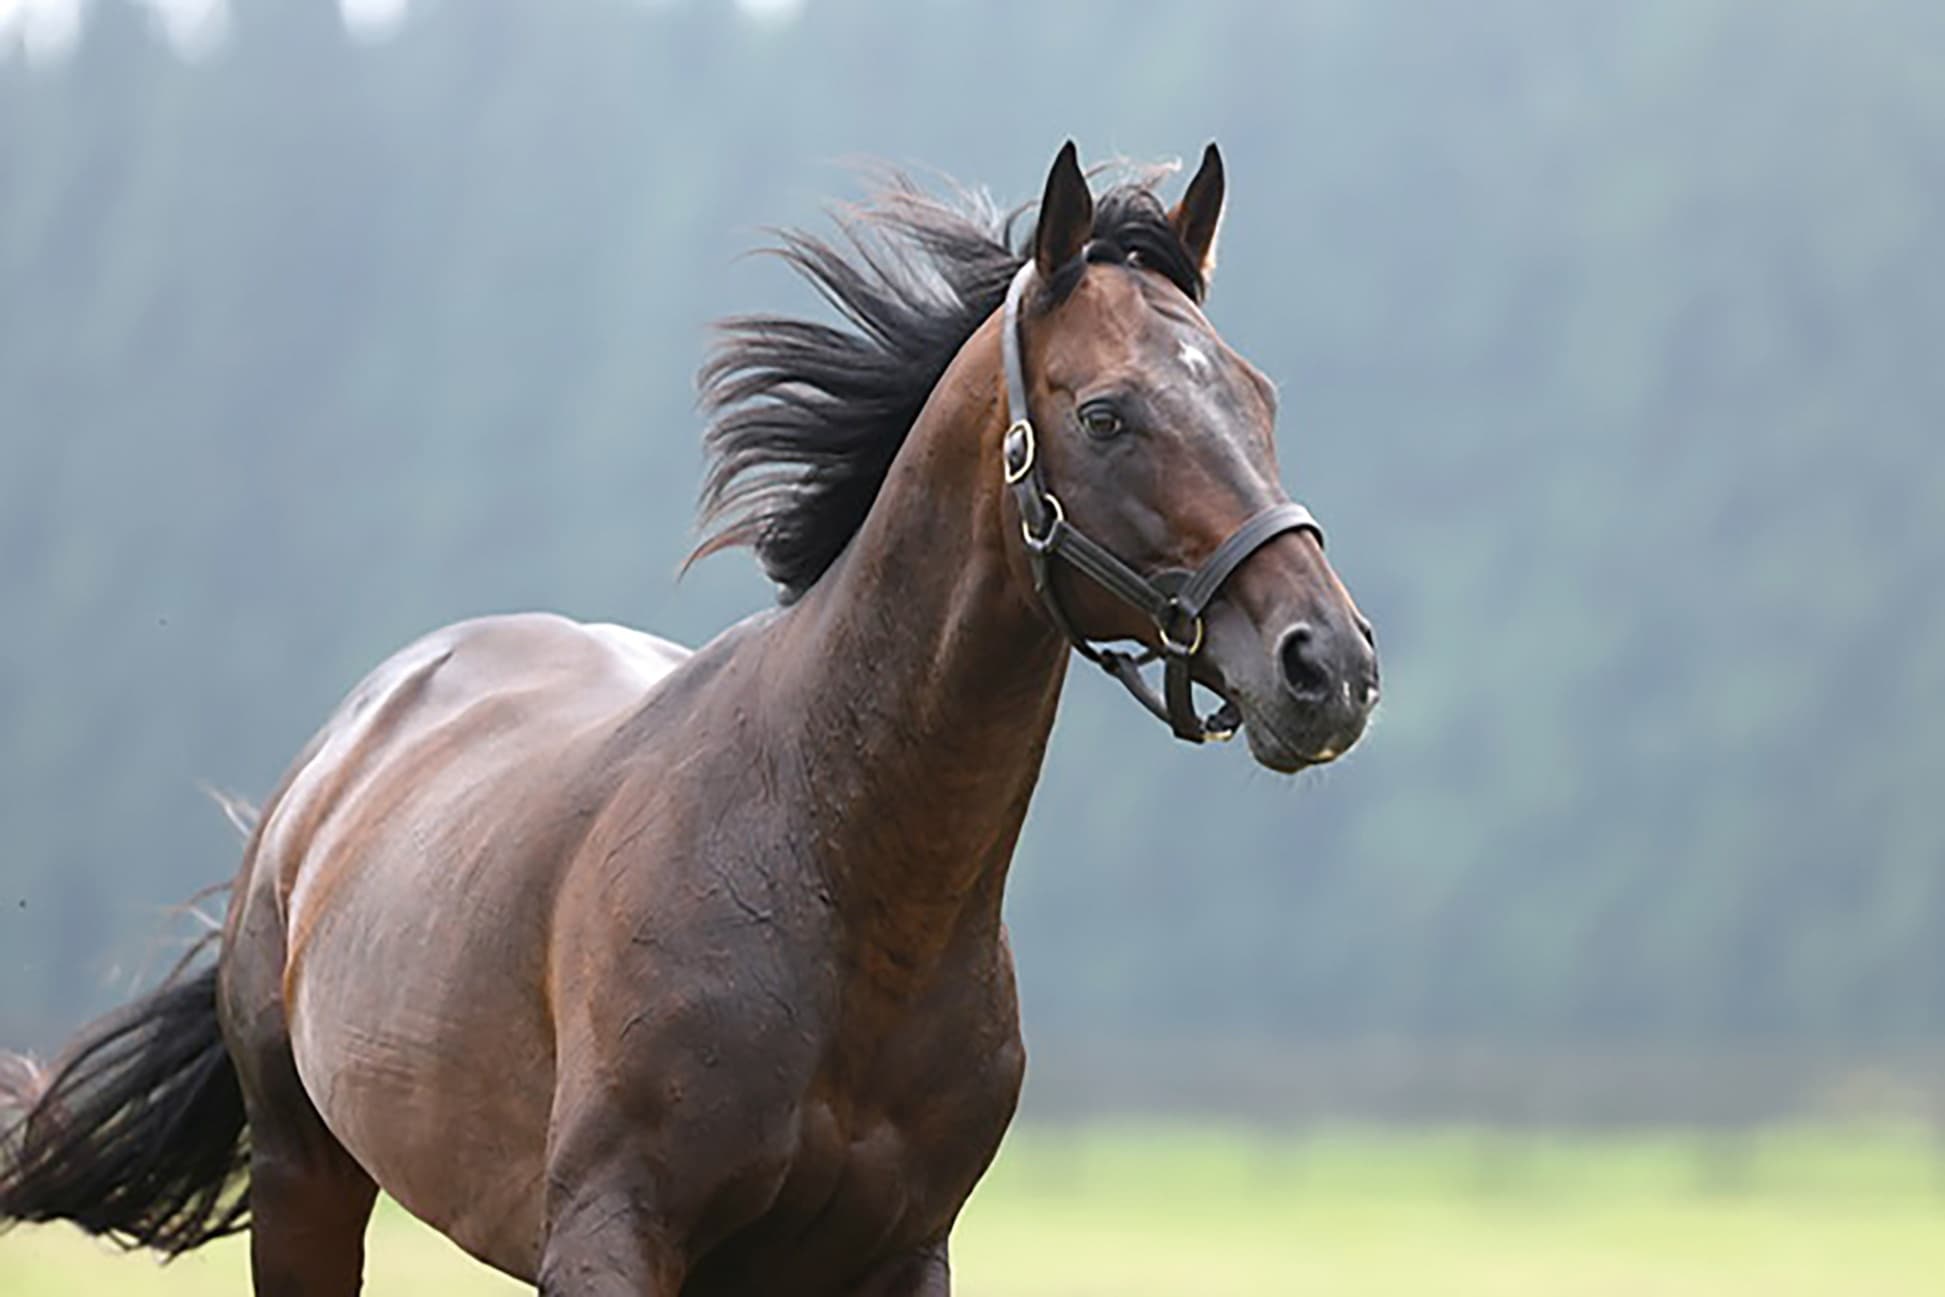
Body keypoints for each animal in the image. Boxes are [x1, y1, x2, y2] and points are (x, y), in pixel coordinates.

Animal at [0, 142, 1377, 1295]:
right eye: (1106, 414)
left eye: (1256, 398)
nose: (1328, 665)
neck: (839, 880)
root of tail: (320, 778)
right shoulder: (615, 1236)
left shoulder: (893, 1256)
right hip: (306, 1185)